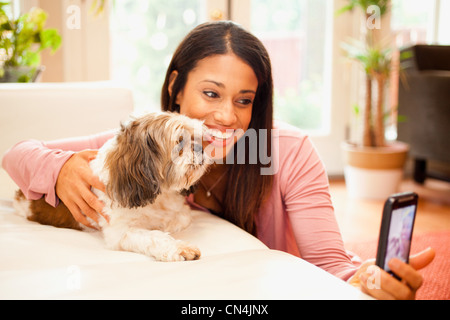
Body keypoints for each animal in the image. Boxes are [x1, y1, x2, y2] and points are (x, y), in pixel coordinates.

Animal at [13, 111, 211, 262]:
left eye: (196, 138)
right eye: (179, 141)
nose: (199, 148)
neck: (158, 198)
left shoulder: (181, 213)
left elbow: (178, 219)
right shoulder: (120, 232)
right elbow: (153, 236)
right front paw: (179, 247)